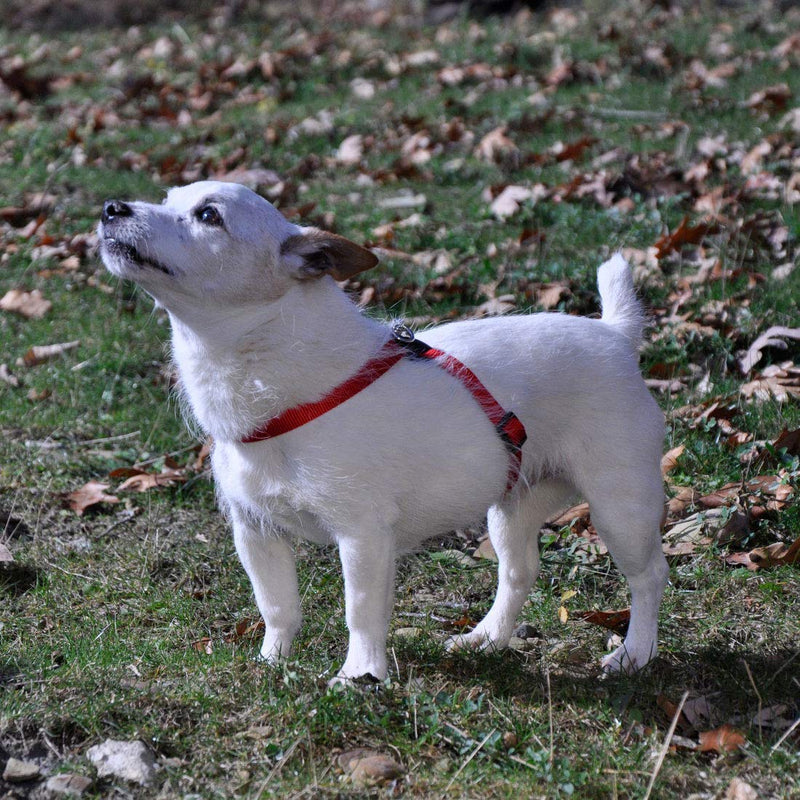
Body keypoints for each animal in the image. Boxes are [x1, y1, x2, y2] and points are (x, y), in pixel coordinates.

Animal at [101, 184, 676, 684]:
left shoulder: (362, 537)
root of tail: (614, 334)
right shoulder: (255, 531)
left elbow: (360, 611)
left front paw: (360, 676)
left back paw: (635, 652)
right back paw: (486, 638)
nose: (111, 207)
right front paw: (272, 662)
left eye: (208, 215)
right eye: (167, 198)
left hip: (619, 507)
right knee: (519, 573)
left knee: (649, 576)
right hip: (511, 507)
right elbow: (277, 605)